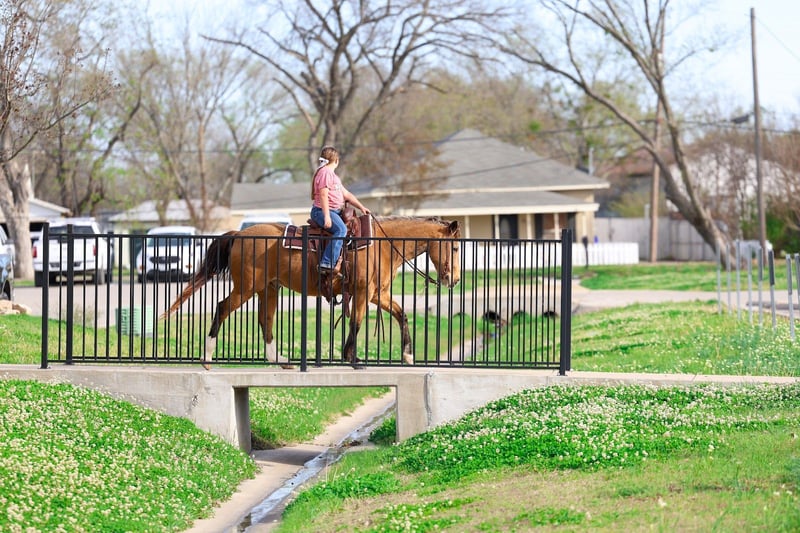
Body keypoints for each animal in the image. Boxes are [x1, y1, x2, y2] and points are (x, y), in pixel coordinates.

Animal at [162, 216, 461, 369]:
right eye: (457, 247)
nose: (455, 279)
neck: (382, 245)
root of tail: (239, 234)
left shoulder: (378, 294)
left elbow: (401, 314)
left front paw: (408, 355)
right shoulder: (363, 293)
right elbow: (356, 322)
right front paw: (353, 358)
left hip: (268, 289)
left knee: (265, 320)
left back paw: (279, 360)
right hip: (246, 288)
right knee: (223, 307)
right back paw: (207, 358)